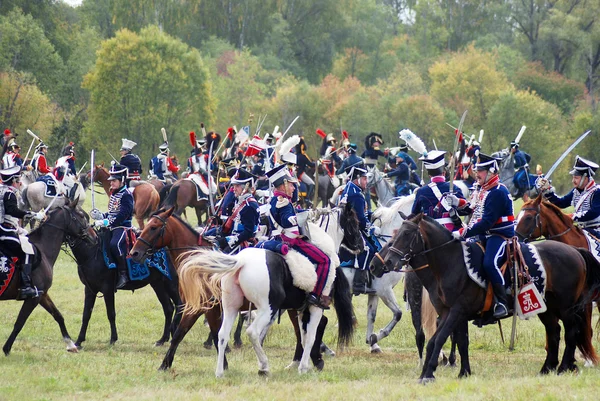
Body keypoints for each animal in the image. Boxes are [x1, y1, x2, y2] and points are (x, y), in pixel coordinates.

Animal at [0, 202, 90, 354]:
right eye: (82, 216)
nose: (95, 238)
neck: (42, 247)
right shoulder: (34, 298)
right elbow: (19, 323)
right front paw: (6, 349)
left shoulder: (42, 294)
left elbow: (58, 315)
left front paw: (70, 344)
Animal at [129, 208, 332, 370]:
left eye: (154, 227)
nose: (134, 253)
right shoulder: (201, 308)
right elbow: (185, 333)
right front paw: (165, 364)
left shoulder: (206, 307)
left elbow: (198, 333)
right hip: (294, 306)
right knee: (307, 329)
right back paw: (311, 359)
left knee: (309, 328)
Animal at [178, 228, 356, 376]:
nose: (357, 245)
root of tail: (242, 261)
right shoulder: (314, 308)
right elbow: (310, 336)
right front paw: (304, 367)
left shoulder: (300, 309)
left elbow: (303, 335)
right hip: (267, 309)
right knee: (253, 332)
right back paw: (264, 366)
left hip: (231, 307)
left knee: (222, 335)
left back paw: (220, 371)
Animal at [370, 214, 600, 382]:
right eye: (395, 234)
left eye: (407, 233)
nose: (379, 264)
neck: (450, 263)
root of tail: (575, 251)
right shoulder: (451, 313)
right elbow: (456, 341)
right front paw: (462, 372)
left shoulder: (456, 311)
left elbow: (440, 338)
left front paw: (428, 373)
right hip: (547, 308)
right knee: (554, 333)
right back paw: (547, 369)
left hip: (566, 308)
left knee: (571, 332)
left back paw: (564, 367)